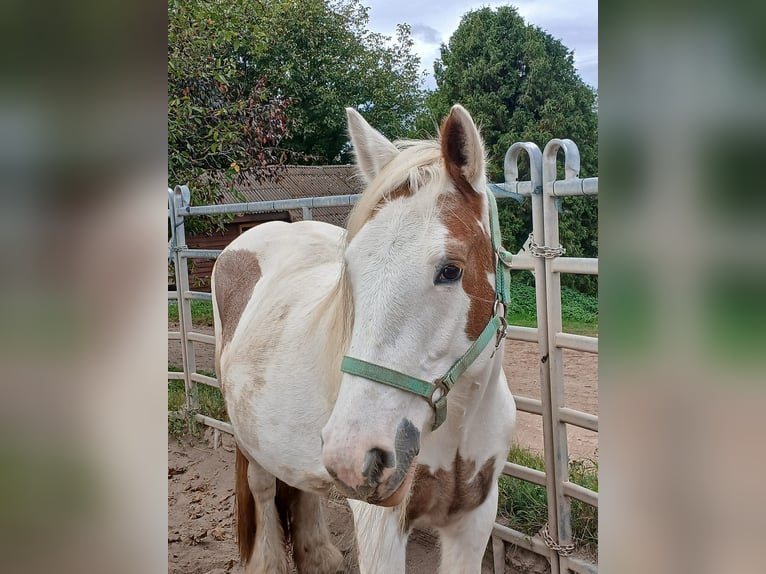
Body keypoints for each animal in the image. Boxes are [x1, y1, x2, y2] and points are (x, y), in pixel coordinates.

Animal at [213, 104, 520, 574]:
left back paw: (319, 555)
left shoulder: (475, 517)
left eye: (450, 270)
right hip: (249, 437)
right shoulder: (381, 529)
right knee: (263, 485)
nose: (354, 456)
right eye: (351, 269)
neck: (459, 420)